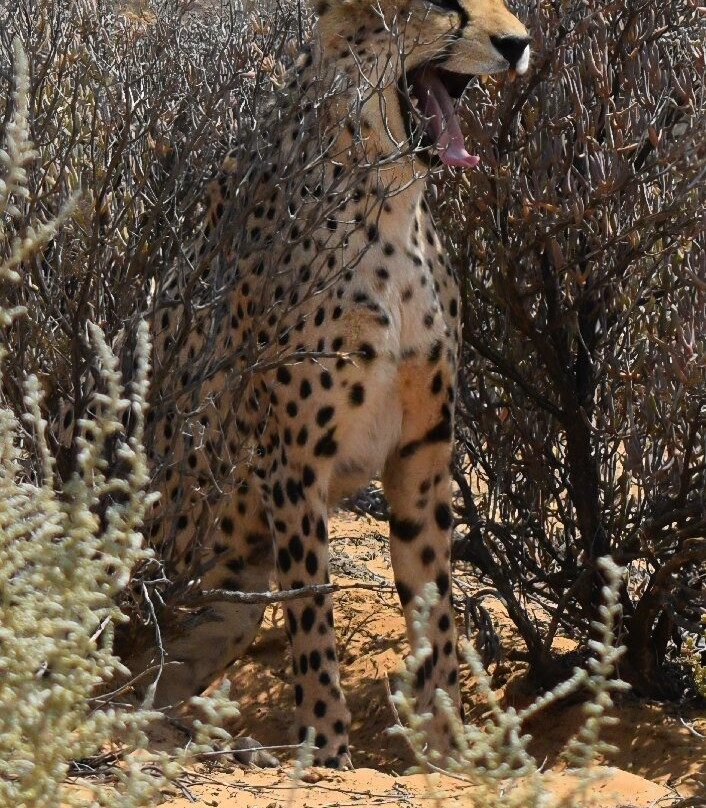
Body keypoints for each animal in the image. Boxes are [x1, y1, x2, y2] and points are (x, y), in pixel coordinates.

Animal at [61, 0, 530, 770]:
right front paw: (330, 753)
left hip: (233, 594)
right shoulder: (293, 462)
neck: (389, 201)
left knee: (156, 687)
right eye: (441, 7)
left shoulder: (424, 455)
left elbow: (436, 616)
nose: (517, 44)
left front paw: (447, 753)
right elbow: (314, 616)